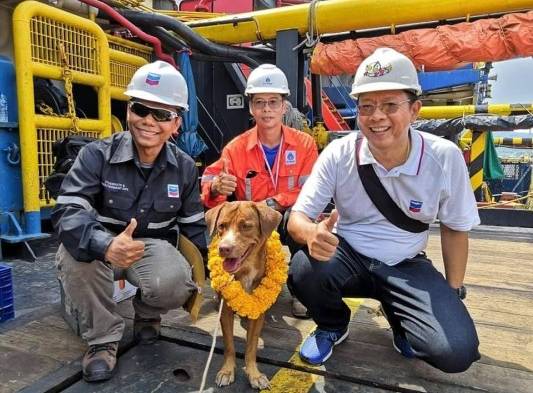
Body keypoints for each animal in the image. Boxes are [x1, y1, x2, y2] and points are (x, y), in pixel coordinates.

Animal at [205, 202, 282, 388]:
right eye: (221, 226)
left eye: (246, 226)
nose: (224, 248)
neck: (245, 269)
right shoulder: (225, 311)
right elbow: (229, 344)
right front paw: (227, 371)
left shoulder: (258, 311)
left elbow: (251, 346)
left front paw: (254, 374)